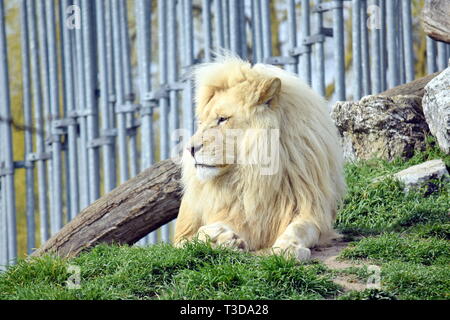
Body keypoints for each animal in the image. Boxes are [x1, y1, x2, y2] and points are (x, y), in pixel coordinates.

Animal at [174, 55, 346, 260]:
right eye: (201, 123)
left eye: (223, 119)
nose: (190, 149)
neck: (252, 176)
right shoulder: (181, 238)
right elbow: (195, 237)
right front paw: (224, 239)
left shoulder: (311, 211)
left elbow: (300, 229)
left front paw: (288, 248)